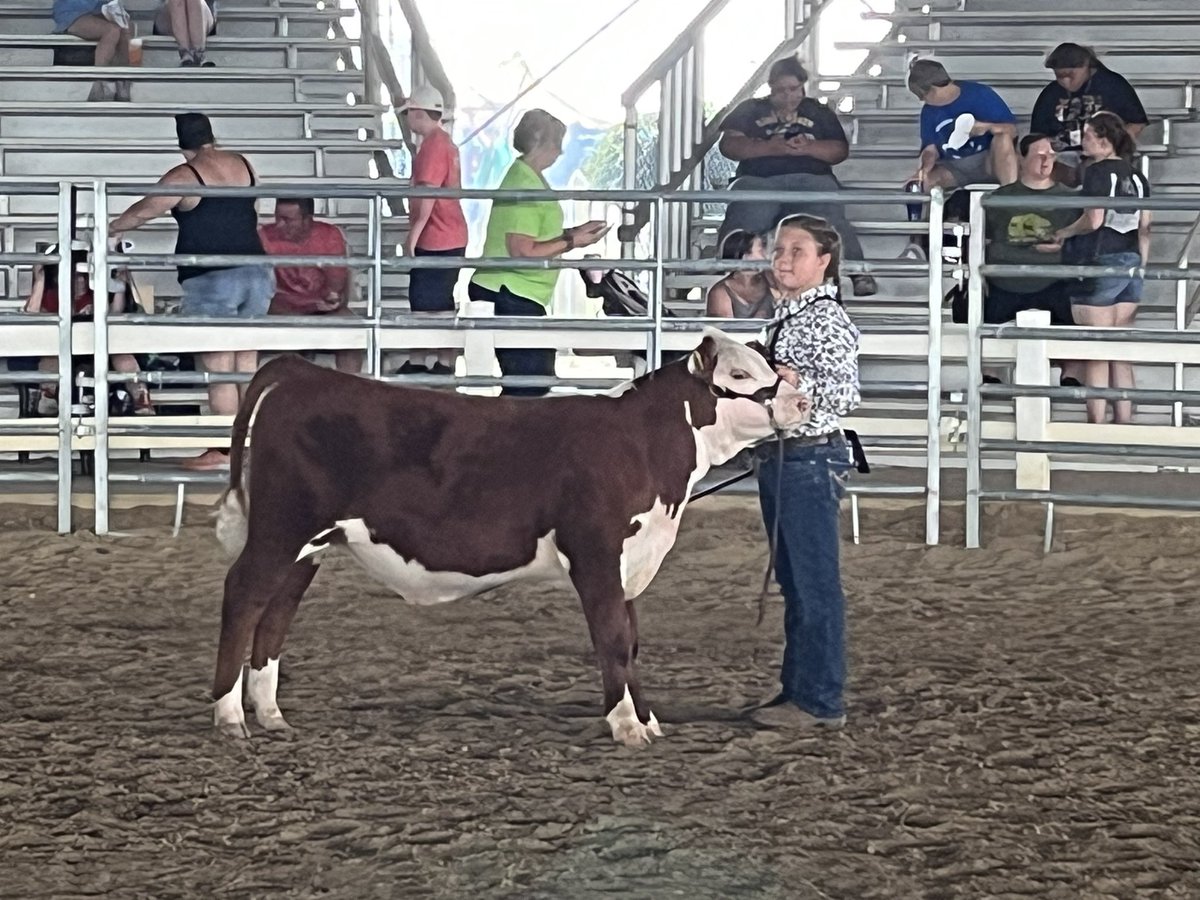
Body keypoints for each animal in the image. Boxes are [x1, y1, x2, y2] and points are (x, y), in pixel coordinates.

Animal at [210, 327, 810, 746]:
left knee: (276, 612)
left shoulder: (629, 562)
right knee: (243, 595)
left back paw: (271, 715)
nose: (801, 402)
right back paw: (229, 716)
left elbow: (632, 641)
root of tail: (296, 371)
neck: (644, 446)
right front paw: (626, 727)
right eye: (738, 374)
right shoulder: (594, 552)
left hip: (308, 544)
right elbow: (613, 638)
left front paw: (647, 720)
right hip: (280, 529)